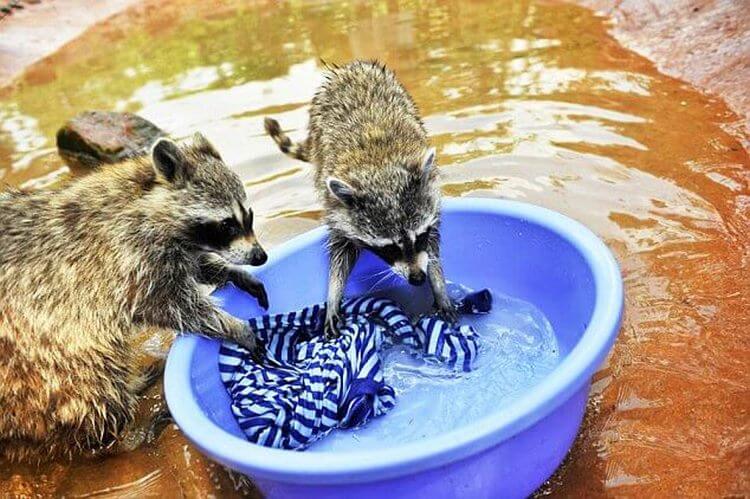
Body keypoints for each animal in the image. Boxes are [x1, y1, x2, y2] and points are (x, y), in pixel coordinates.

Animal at [0, 132, 268, 460]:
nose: (260, 256)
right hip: (39, 353)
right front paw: (233, 325)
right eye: (227, 224)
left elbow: (191, 267)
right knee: (93, 385)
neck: (144, 199)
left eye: (249, 215)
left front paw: (227, 271)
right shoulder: (128, 258)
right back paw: (119, 435)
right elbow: (173, 306)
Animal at [266, 60, 458, 338]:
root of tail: (349, 67)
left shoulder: (430, 201)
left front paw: (437, 282)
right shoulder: (336, 207)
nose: (417, 278)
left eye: (418, 236)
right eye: (389, 248)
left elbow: (432, 247)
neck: (380, 168)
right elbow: (339, 256)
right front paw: (334, 294)